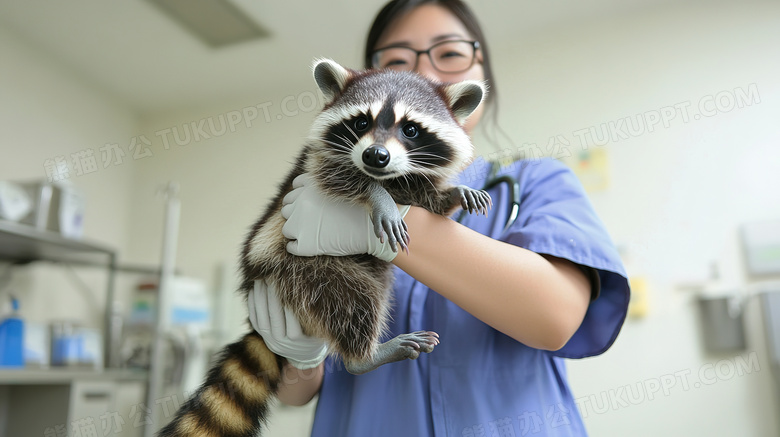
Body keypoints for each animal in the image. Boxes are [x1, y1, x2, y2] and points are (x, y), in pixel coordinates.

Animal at [155, 58, 490, 436]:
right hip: (295, 269)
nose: (375, 156)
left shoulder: (410, 175)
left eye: (411, 129)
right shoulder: (315, 163)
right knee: (353, 297)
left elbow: (425, 196)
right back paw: (365, 357)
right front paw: (378, 196)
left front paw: (452, 194)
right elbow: (341, 177)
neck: (388, 176)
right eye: (361, 122)